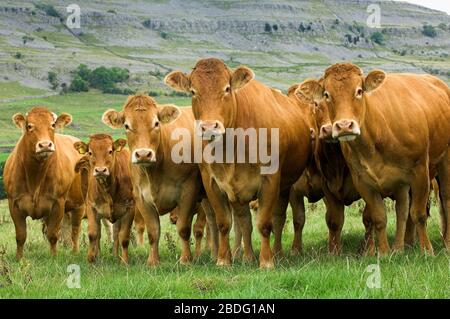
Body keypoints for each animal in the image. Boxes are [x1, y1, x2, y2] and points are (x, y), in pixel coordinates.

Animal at [3, 107, 84, 260]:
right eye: (29, 126)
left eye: (52, 125)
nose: (45, 145)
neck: (35, 175)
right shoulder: (14, 204)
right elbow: (21, 236)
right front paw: (19, 258)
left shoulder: (58, 203)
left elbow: (53, 234)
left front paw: (53, 257)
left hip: (80, 204)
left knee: (75, 230)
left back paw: (75, 252)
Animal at [72, 134, 134, 264]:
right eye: (90, 152)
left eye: (110, 151)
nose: (100, 170)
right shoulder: (91, 207)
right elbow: (93, 234)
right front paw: (91, 259)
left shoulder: (130, 208)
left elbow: (124, 236)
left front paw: (125, 261)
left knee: (116, 233)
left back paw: (115, 255)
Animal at [103, 96, 220, 266]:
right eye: (127, 125)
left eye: (156, 123)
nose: (143, 154)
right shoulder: (141, 197)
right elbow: (153, 231)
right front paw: (153, 261)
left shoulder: (188, 192)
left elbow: (183, 228)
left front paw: (185, 259)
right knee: (212, 221)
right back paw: (214, 255)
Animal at [163, 58, 312, 268]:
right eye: (193, 91)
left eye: (227, 89)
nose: (209, 127)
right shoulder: (212, 183)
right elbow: (225, 223)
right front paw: (223, 259)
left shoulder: (270, 181)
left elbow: (264, 224)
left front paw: (266, 261)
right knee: (244, 222)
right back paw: (247, 256)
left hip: (285, 187)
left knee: (278, 219)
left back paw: (277, 253)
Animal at [298, 63, 450, 256]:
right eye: (326, 94)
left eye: (359, 91)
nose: (344, 126)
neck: (378, 132)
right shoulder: (363, 182)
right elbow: (379, 217)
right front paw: (384, 252)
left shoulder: (420, 171)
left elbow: (419, 213)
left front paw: (427, 251)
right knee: (402, 210)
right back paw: (400, 247)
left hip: (445, 162)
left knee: (446, 200)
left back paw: (446, 243)